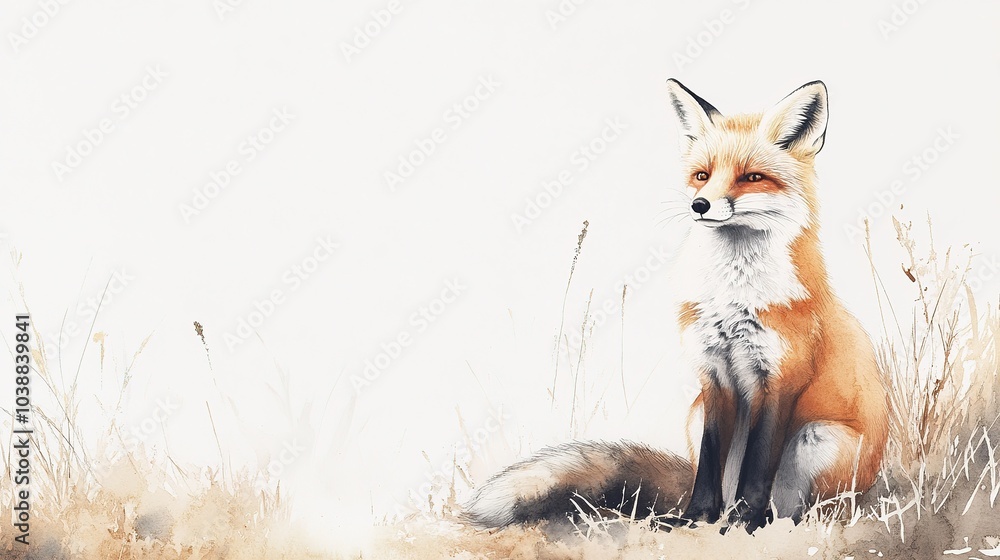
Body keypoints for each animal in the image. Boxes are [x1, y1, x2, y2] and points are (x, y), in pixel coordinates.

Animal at [462, 79, 889, 533]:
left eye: (752, 177)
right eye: (702, 175)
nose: (699, 205)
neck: (732, 298)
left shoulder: (781, 377)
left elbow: (757, 468)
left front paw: (744, 524)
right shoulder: (713, 376)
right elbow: (709, 463)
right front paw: (697, 519)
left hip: (819, 439)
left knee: (802, 510)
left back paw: (770, 521)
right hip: (695, 411)